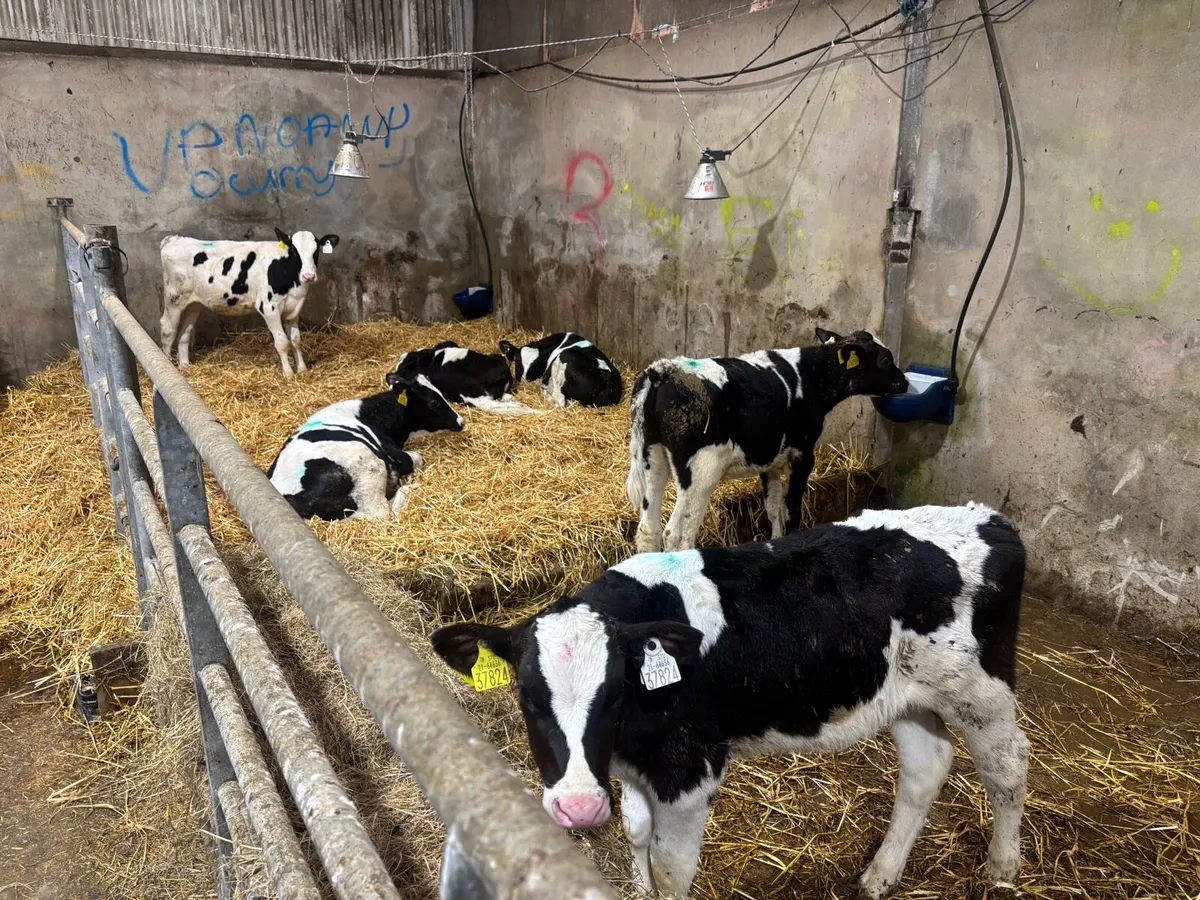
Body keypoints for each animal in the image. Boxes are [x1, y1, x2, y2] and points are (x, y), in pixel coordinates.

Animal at [160, 227, 340, 378]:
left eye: (316, 252)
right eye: (294, 252)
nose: (308, 276)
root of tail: (174, 239)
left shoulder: (293, 308)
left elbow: (295, 340)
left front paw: (302, 369)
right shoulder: (268, 307)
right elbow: (282, 342)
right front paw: (288, 373)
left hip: (193, 303)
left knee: (185, 332)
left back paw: (185, 367)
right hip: (173, 299)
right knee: (168, 329)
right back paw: (168, 368)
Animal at [267, 375, 463, 520]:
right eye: (434, 402)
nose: (461, 421)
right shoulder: (391, 450)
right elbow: (414, 458)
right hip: (367, 469)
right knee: (384, 513)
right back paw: (409, 486)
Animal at [432, 503, 1029, 900]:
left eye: (615, 694)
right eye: (526, 695)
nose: (578, 807)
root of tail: (991, 520)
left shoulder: (688, 771)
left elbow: (670, 869)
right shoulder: (635, 770)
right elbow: (636, 835)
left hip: (980, 690)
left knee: (1008, 767)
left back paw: (1002, 868)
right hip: (907, 695)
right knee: (926, 769)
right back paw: (880, 875)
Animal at [626, 327, 908, 553]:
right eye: (886, 359)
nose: (904, 382)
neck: (810, 376)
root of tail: (663, 370)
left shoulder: (772, 459)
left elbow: (773, 507)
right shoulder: (802, 453)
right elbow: (792, 509)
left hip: (653, 457)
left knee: (648, 529)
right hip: (699, 472)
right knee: (677, 535)